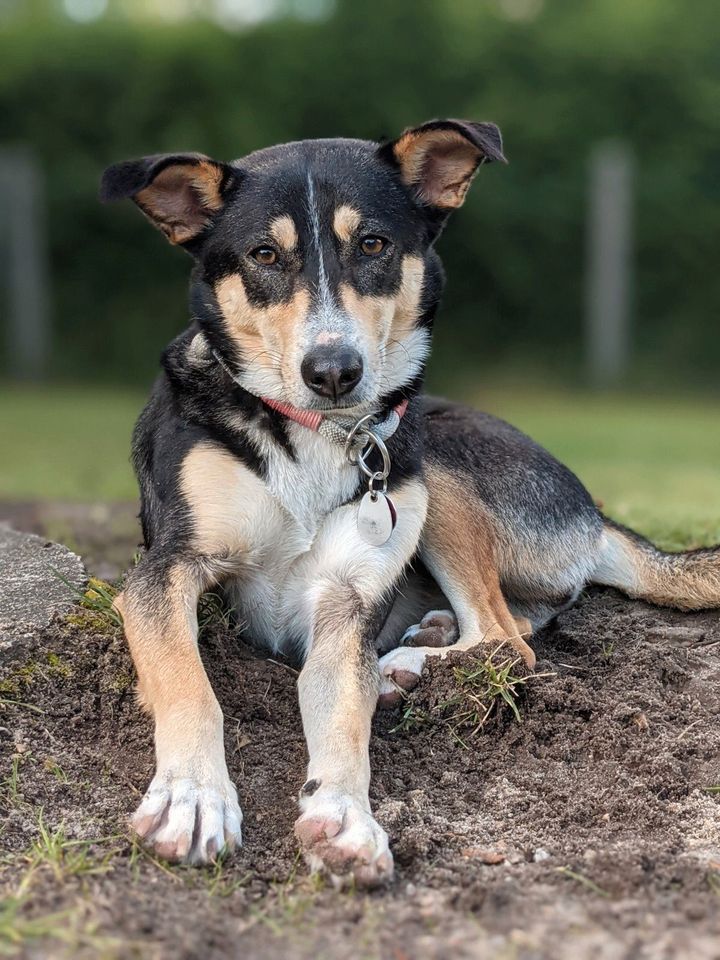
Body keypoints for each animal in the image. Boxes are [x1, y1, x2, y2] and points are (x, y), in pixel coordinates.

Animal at [100, 118, 720, 884]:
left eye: (373, 245)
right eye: (264, 255)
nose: (334, 371)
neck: (316, 434)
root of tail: (597, 514)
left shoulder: (346, 604)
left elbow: (344, 719)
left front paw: (344, 816)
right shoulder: (166, 571)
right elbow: (191, 685)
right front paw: (192, 799)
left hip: (435, 466)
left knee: (509, 641)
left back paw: (410, 662)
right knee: (523, 622)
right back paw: (426, 640)